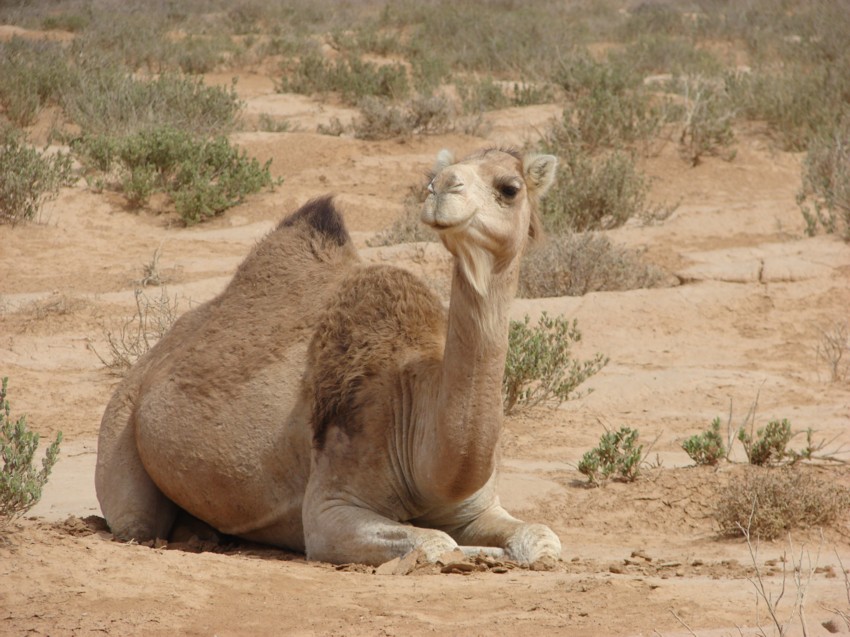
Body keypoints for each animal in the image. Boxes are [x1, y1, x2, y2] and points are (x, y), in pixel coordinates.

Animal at [96, 147, 560, 564]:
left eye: (510, 188)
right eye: (435, 175)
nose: (441, 187)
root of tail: (151, 359)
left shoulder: (477, 507)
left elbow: (542, 539)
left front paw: (502, 552)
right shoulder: (329, 506)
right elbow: (435, 543)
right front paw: (480, 555)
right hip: (120, 428)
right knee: (136, 521)